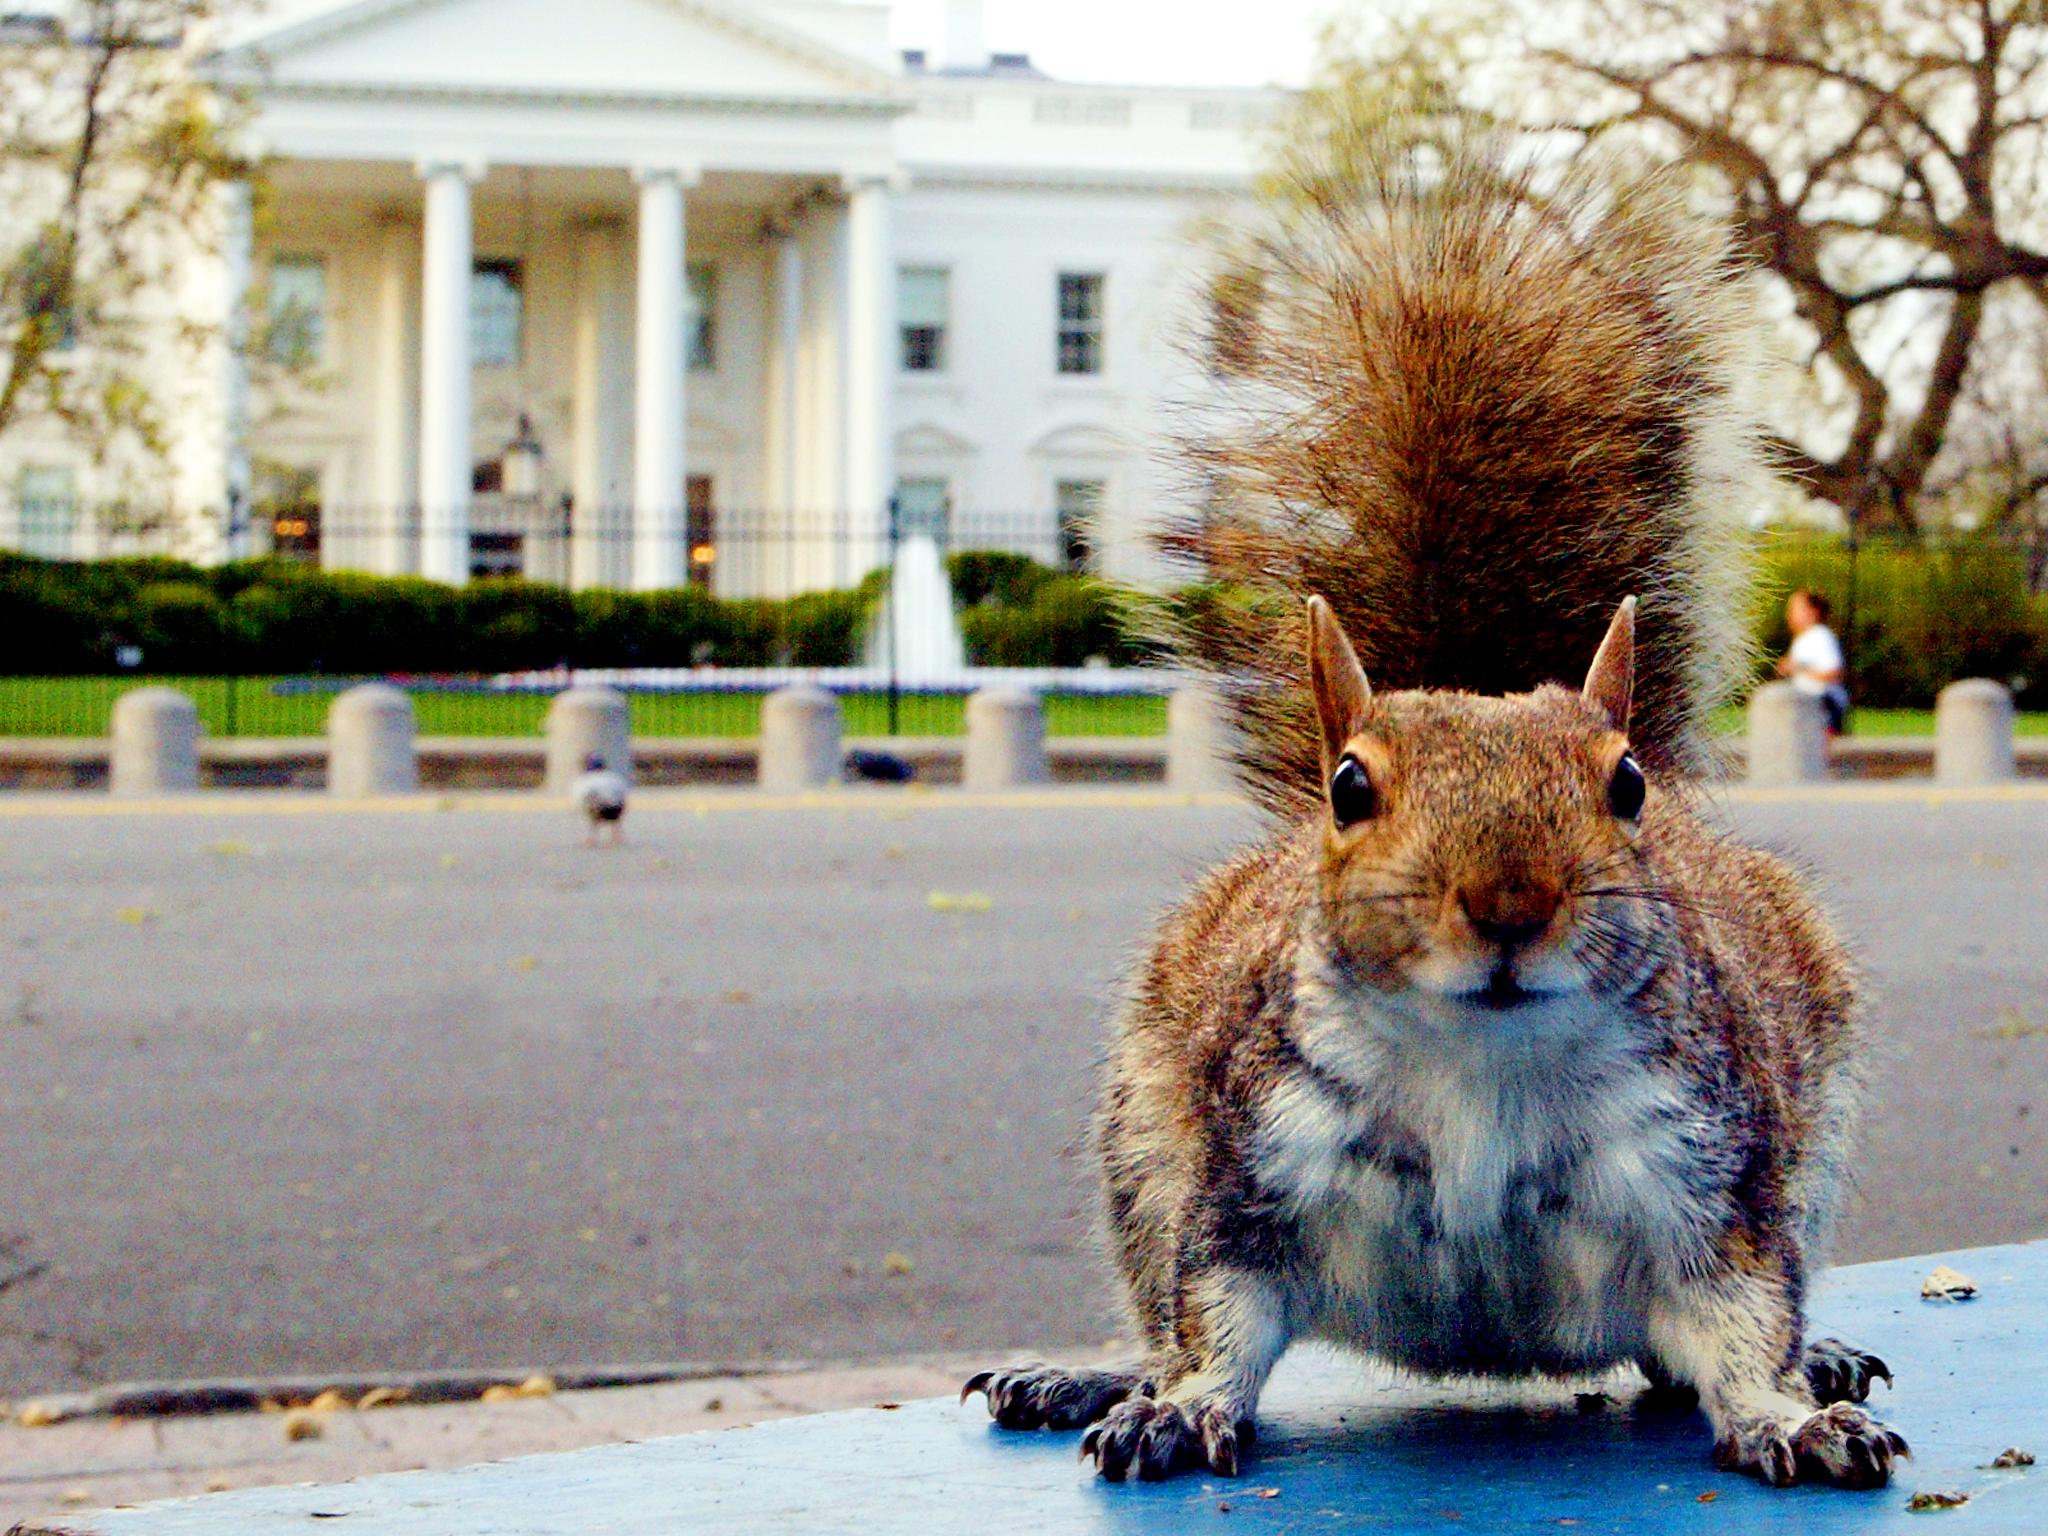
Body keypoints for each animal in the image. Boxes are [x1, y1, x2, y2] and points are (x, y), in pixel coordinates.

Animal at [958, 141, 1900, 1490]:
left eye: (1626, 785)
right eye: (1348, 787)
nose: (1507, 905)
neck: (1479, 1072)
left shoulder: (1711, 1176)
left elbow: (1739, 1324)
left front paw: (1789, 1413)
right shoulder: (1242, 1171)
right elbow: (1213, 1317)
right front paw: (1173, 1407)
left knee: (1693, 1351)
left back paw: (1818, 1362)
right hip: (1142, 1147)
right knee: (1151, 1303)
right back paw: (1092, 1372)